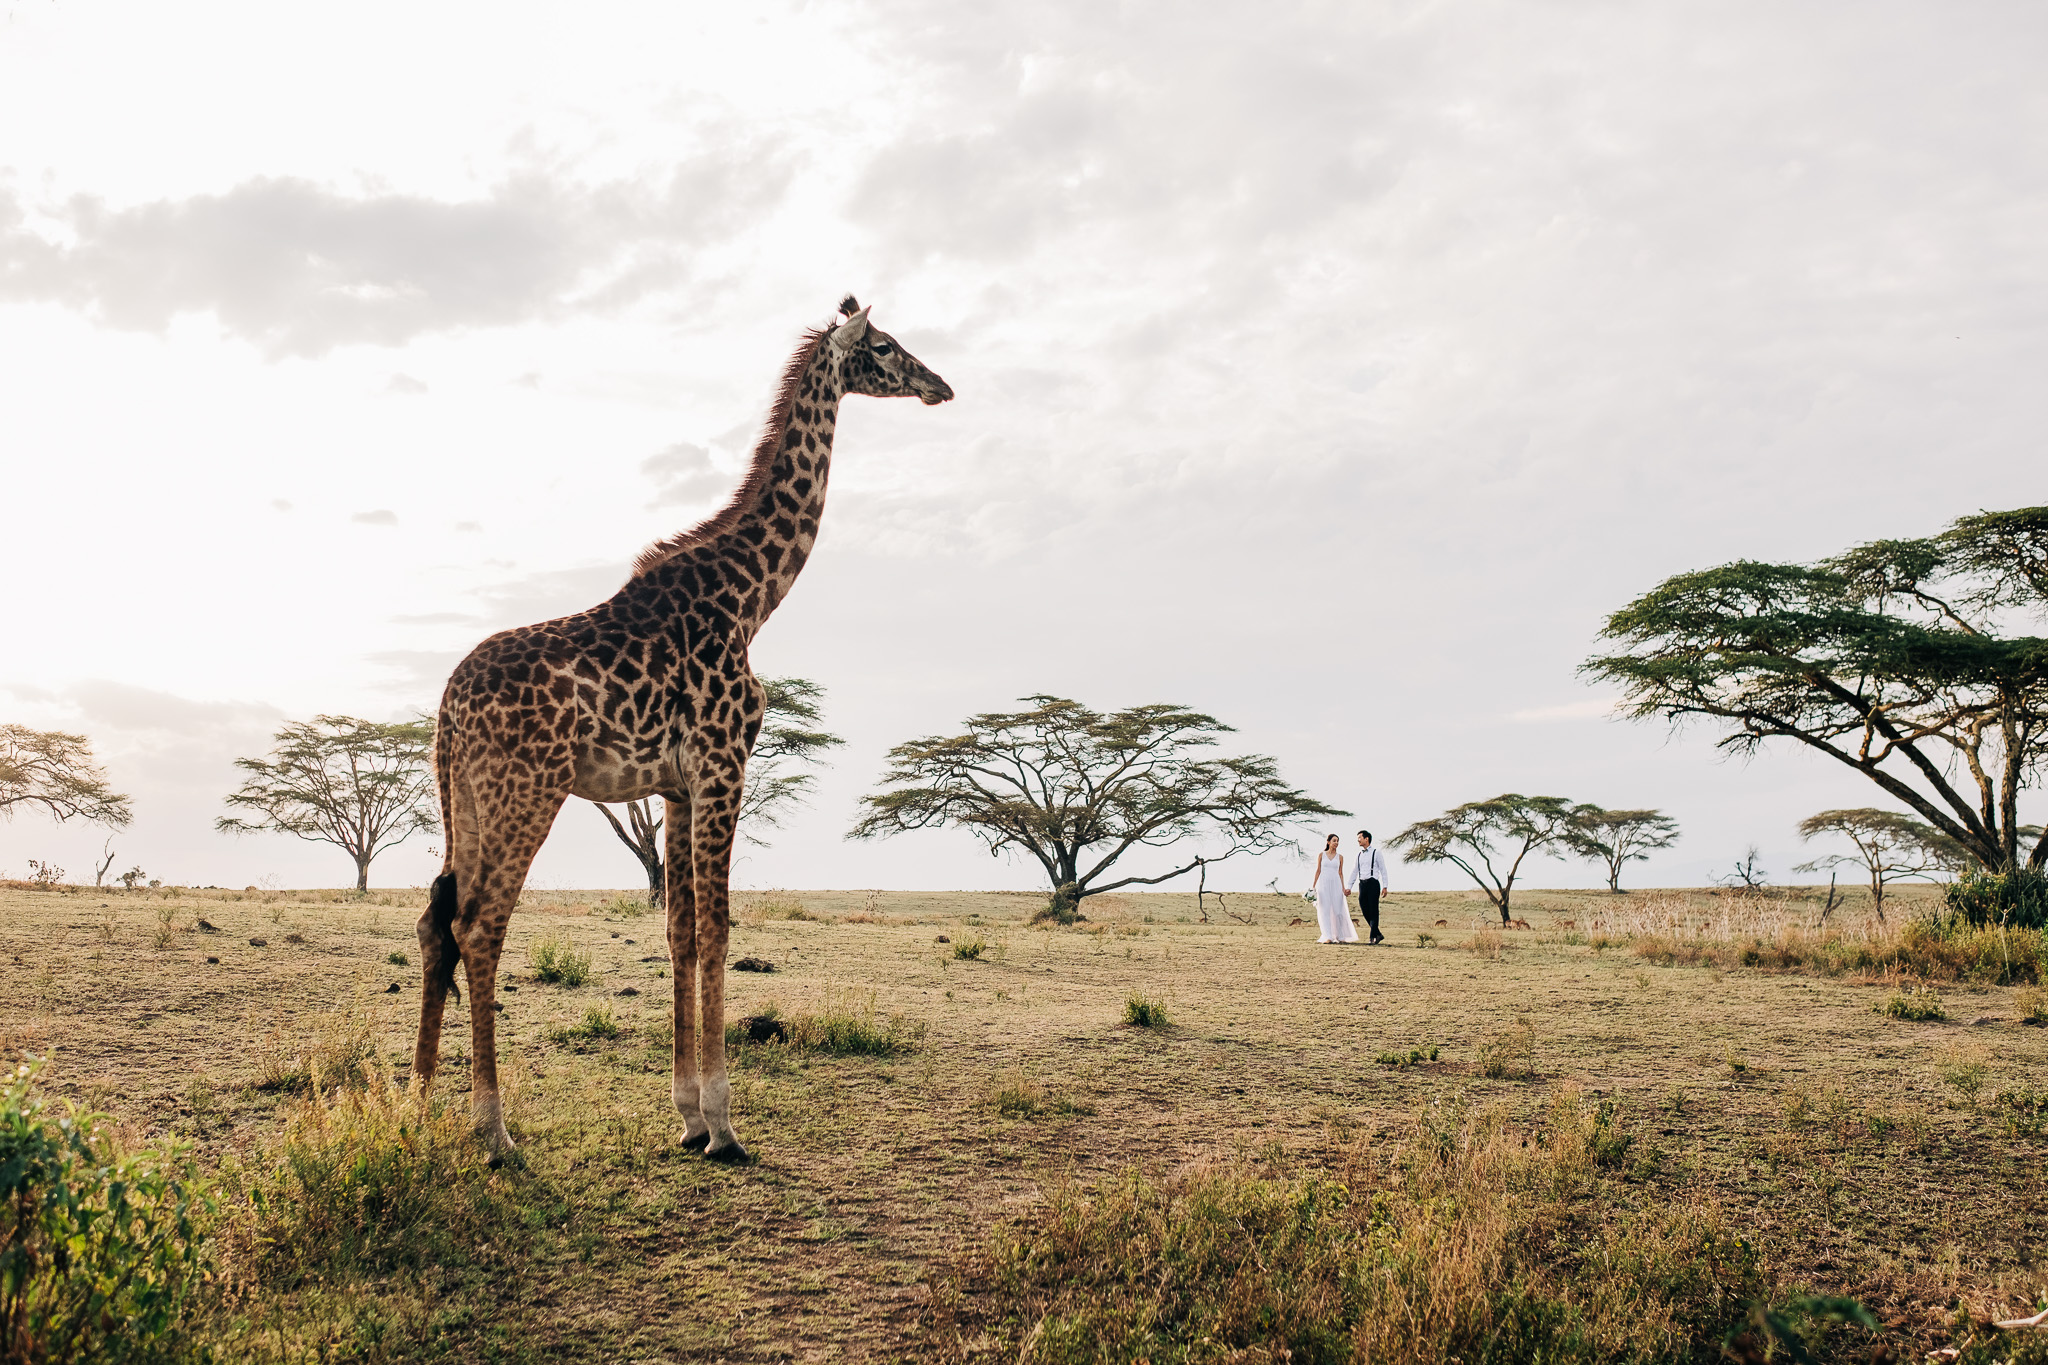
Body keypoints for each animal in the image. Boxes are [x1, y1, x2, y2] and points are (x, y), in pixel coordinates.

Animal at [417, 300, 958, 1162]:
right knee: (480, 923)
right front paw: (725, 1124)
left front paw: (686, 1115)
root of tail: (446, 705)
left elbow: (676, 930)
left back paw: (418, 1104)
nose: (940, 384)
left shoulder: (672, 785)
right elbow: (717, 929)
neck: (751, 596)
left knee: (435, 917)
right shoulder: (724, 763)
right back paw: (494, 1130)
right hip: (526, 791)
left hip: (463, 796)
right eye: (883, 345)